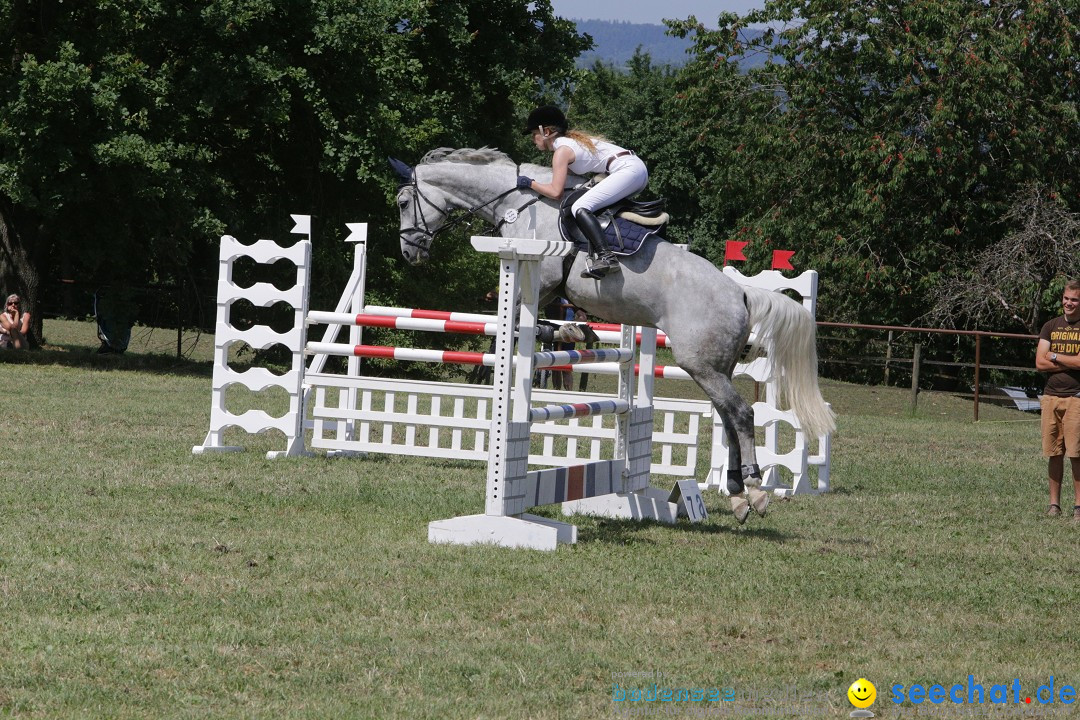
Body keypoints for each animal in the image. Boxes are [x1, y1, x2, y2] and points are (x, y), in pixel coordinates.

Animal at [393, 147, 838, 524]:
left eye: (402, 203)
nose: (410, 253)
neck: (519, 203)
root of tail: (741, 293)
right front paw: (568, 329)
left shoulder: (541, 276)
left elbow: (521, 316)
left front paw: (564, 329)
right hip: (715, 367)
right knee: (728, 417)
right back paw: (736, 496)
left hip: (700, 364)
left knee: (742, 413)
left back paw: (756, 491)